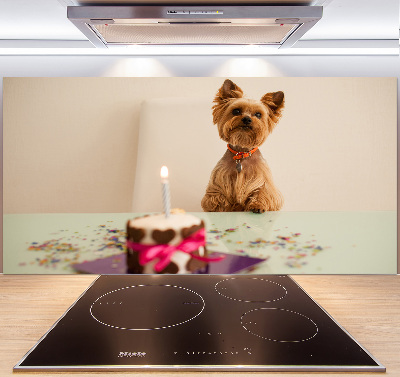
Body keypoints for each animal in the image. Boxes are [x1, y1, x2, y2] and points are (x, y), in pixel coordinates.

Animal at [203, 78, 284, 214]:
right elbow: (217, 196)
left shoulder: (263, 181)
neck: (241, 153)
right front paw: (220, 206)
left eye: (258, 114)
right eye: (236, 111)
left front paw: (258, 205)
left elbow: (262, 192)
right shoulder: (219, 180)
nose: (246, 119)